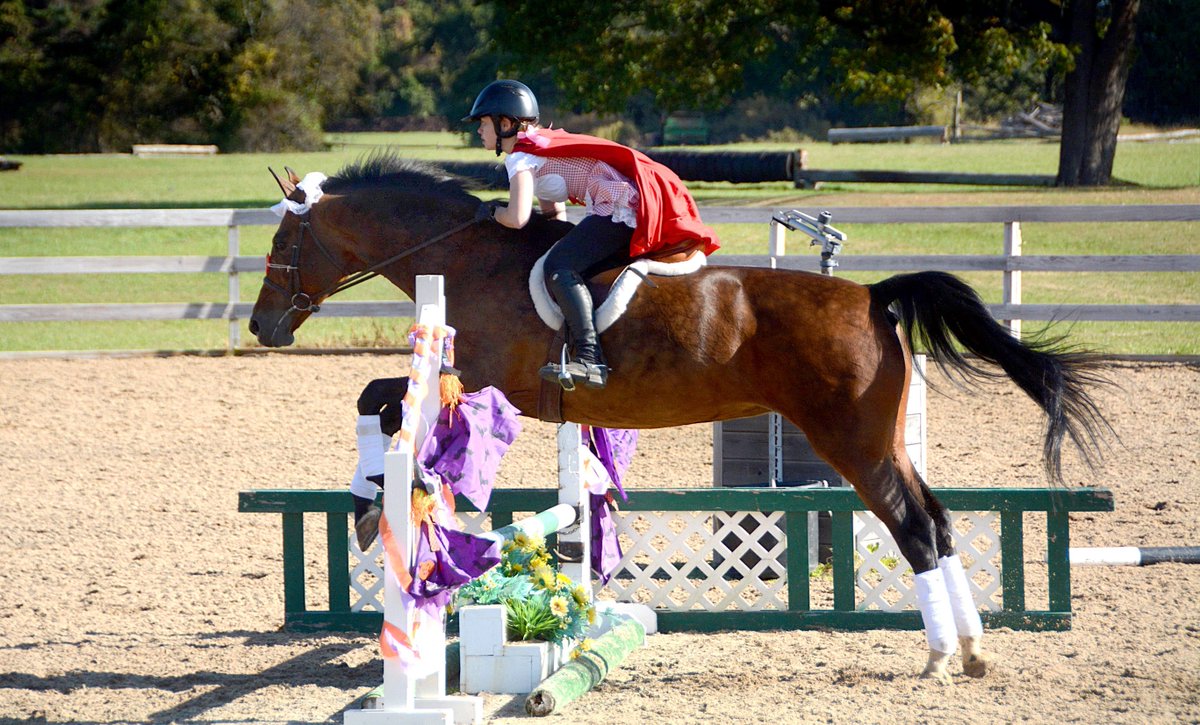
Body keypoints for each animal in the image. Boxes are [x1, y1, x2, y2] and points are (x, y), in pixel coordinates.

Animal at [249, 154, 1111, 683]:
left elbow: (380, 397)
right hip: (884, 439)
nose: (261, 326)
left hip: (852, 443)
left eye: (281, 240)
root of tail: (872, 295)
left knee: (913, 527)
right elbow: (376, 397)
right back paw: (969, 650)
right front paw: (370, 495)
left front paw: (370, 500)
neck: (462, 257)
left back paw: (935, 657)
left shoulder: (485, 384)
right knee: (935, 518)